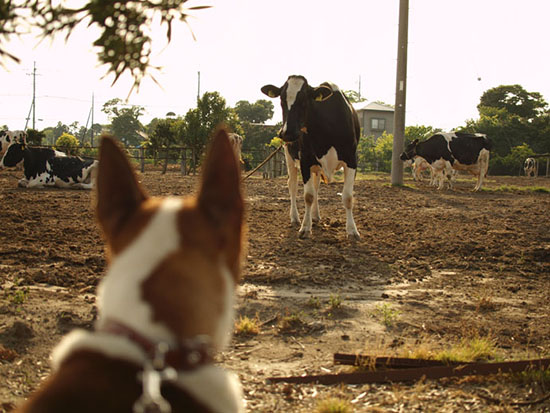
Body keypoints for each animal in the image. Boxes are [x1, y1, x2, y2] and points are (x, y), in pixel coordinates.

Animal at [264, 74, 362, 238]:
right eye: (282, 100)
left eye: (304, 100)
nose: (287, 133)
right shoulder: (305, 160)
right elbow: (308, 196)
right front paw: (305, 227)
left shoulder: (352, 160)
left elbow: (347, 197)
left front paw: (352, 230)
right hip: (289, 157)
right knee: (292, 185)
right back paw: (295, 217)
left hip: (316, 167)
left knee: (316, 187)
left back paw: (315, 215)